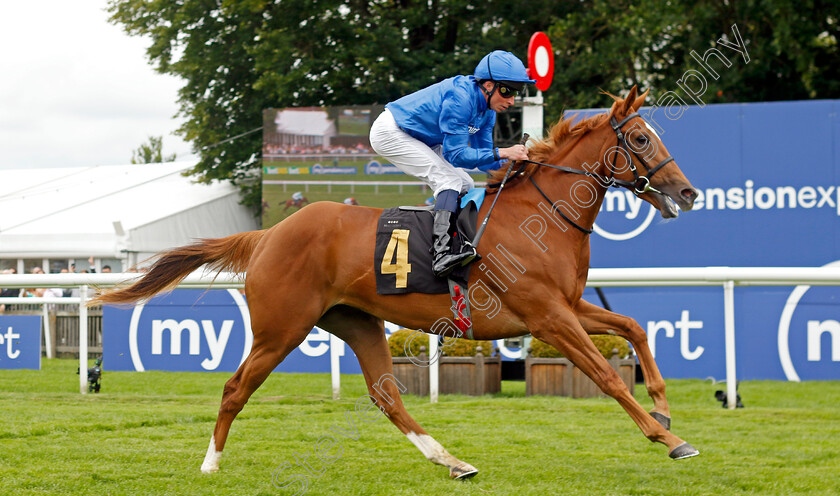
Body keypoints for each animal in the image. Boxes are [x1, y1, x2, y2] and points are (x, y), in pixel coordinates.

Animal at [93, 88, 704, 480]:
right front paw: (670, 439)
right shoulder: (547, 315)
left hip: (356, 322)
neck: (544, 214)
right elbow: (607, 376)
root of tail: (268, 234)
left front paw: (664, 407)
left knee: (385, 396)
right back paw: (211, 463)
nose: (689, 192)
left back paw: (452, 461)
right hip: (280, 328)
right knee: (234, 388)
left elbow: (633, 327)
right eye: (641, 139)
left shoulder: (569, 305)